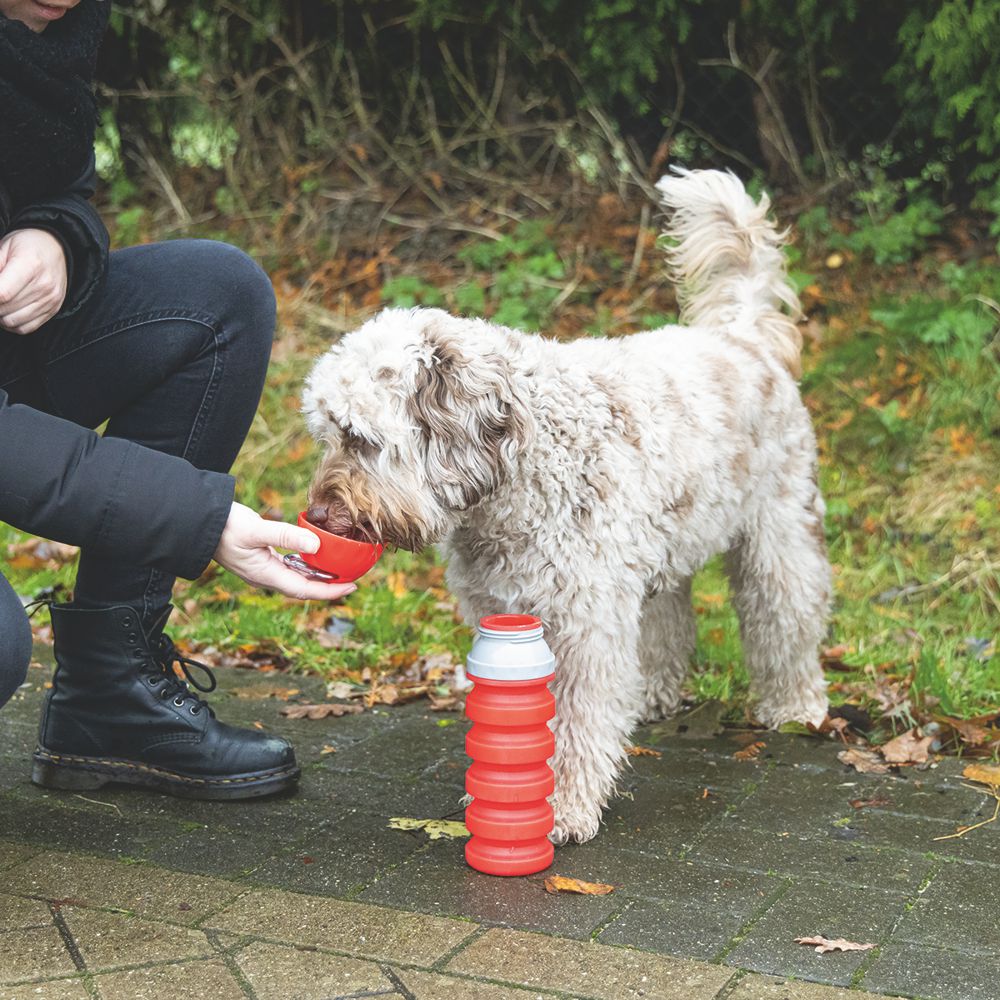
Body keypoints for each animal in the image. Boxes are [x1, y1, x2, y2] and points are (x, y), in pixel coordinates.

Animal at [300, 170, 832, 844]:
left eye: (360, 438)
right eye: (327, 433)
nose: (319, 517)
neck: (520, 469)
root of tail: (742, 336)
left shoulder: (583, 621)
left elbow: (577, 723)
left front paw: (565, 807)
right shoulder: (506, 607)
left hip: (778, 532)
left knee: (785, 615)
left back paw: (796, 705)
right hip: (662, 553)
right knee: (668, 623)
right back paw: (652, 694)